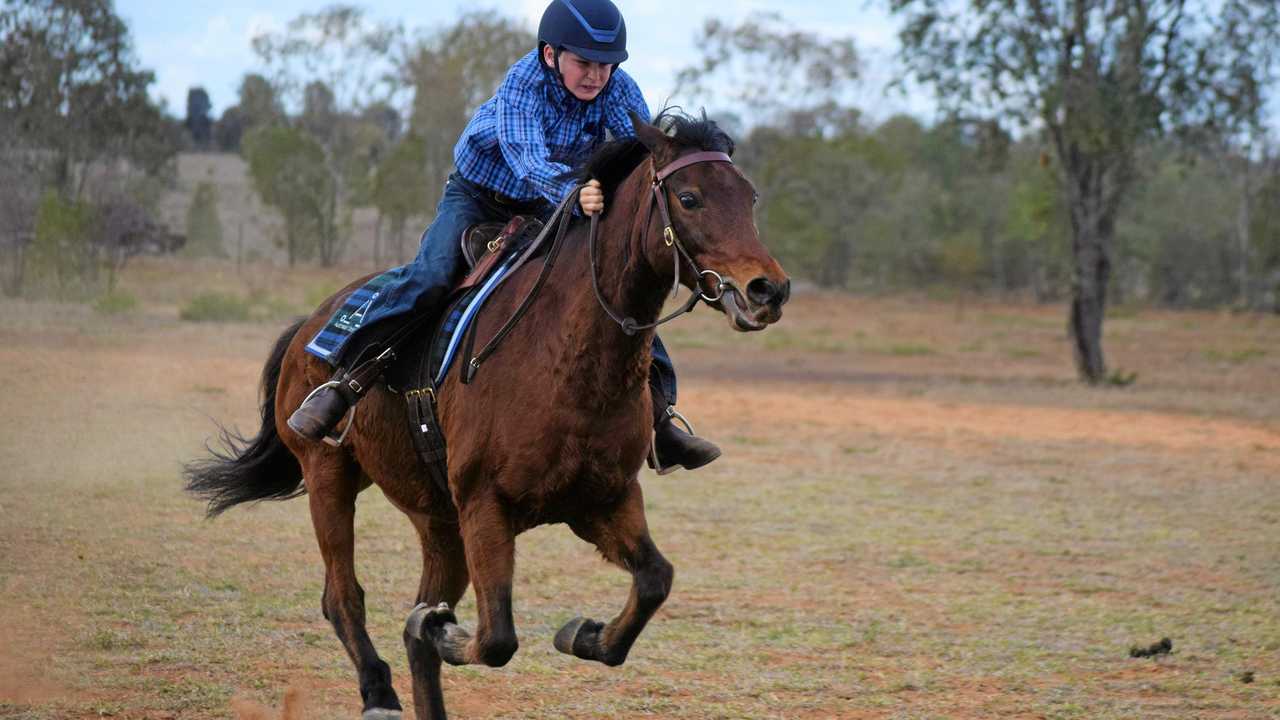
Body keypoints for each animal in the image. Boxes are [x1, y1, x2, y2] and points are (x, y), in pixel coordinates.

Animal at [185, 113, 788, 717]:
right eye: (689, 198)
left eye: (750, 197)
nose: (768, 289)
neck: (563, 358)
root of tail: (308, 328)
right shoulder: (485, 506)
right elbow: (496, 636)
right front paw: (445, 630)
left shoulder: (605, 500)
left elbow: (654, 580)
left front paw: (583, 634)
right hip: (328, 476)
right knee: (343, 595)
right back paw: (379, 689)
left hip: (437, 521)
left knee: (414, 620)